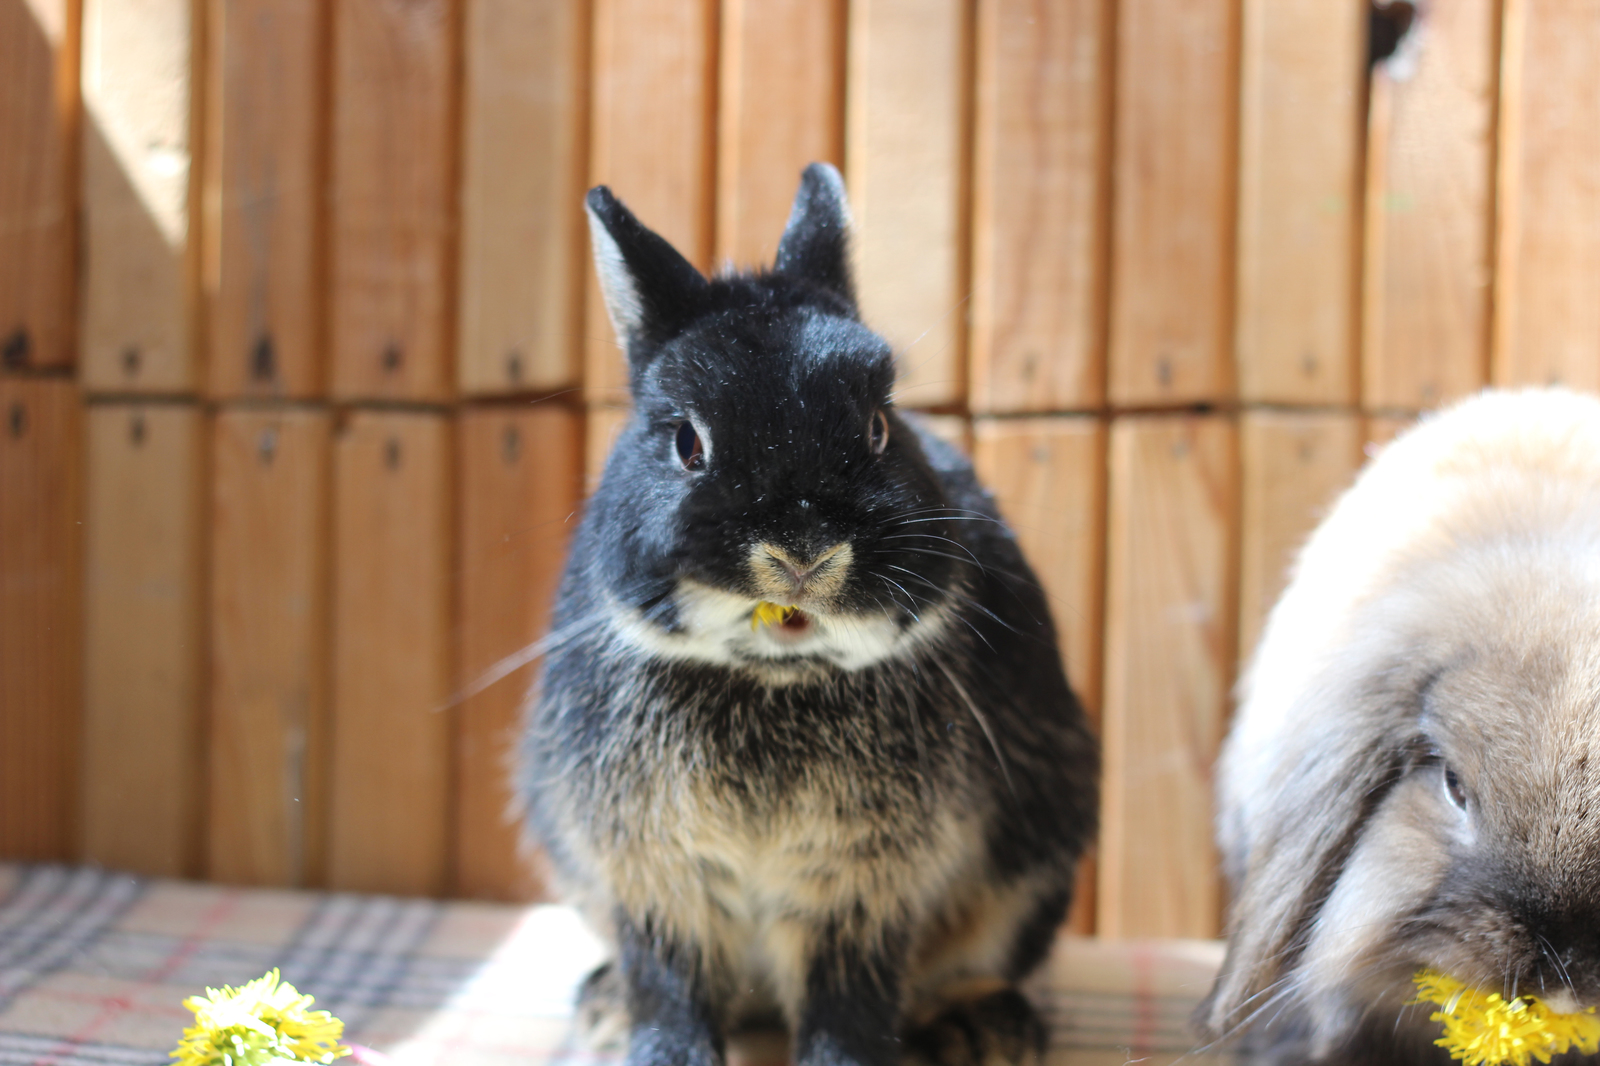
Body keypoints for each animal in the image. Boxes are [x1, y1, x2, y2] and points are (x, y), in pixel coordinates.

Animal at [518, 164, 1094, 1062]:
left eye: (879, 427)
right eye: (687, 443)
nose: (801, 550)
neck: (775, 678)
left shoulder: (862, 888)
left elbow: (847, 996)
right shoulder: (654, 876)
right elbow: (671, 983)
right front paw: (660, 1051)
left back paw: (980, 1027)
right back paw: (604, 1012)